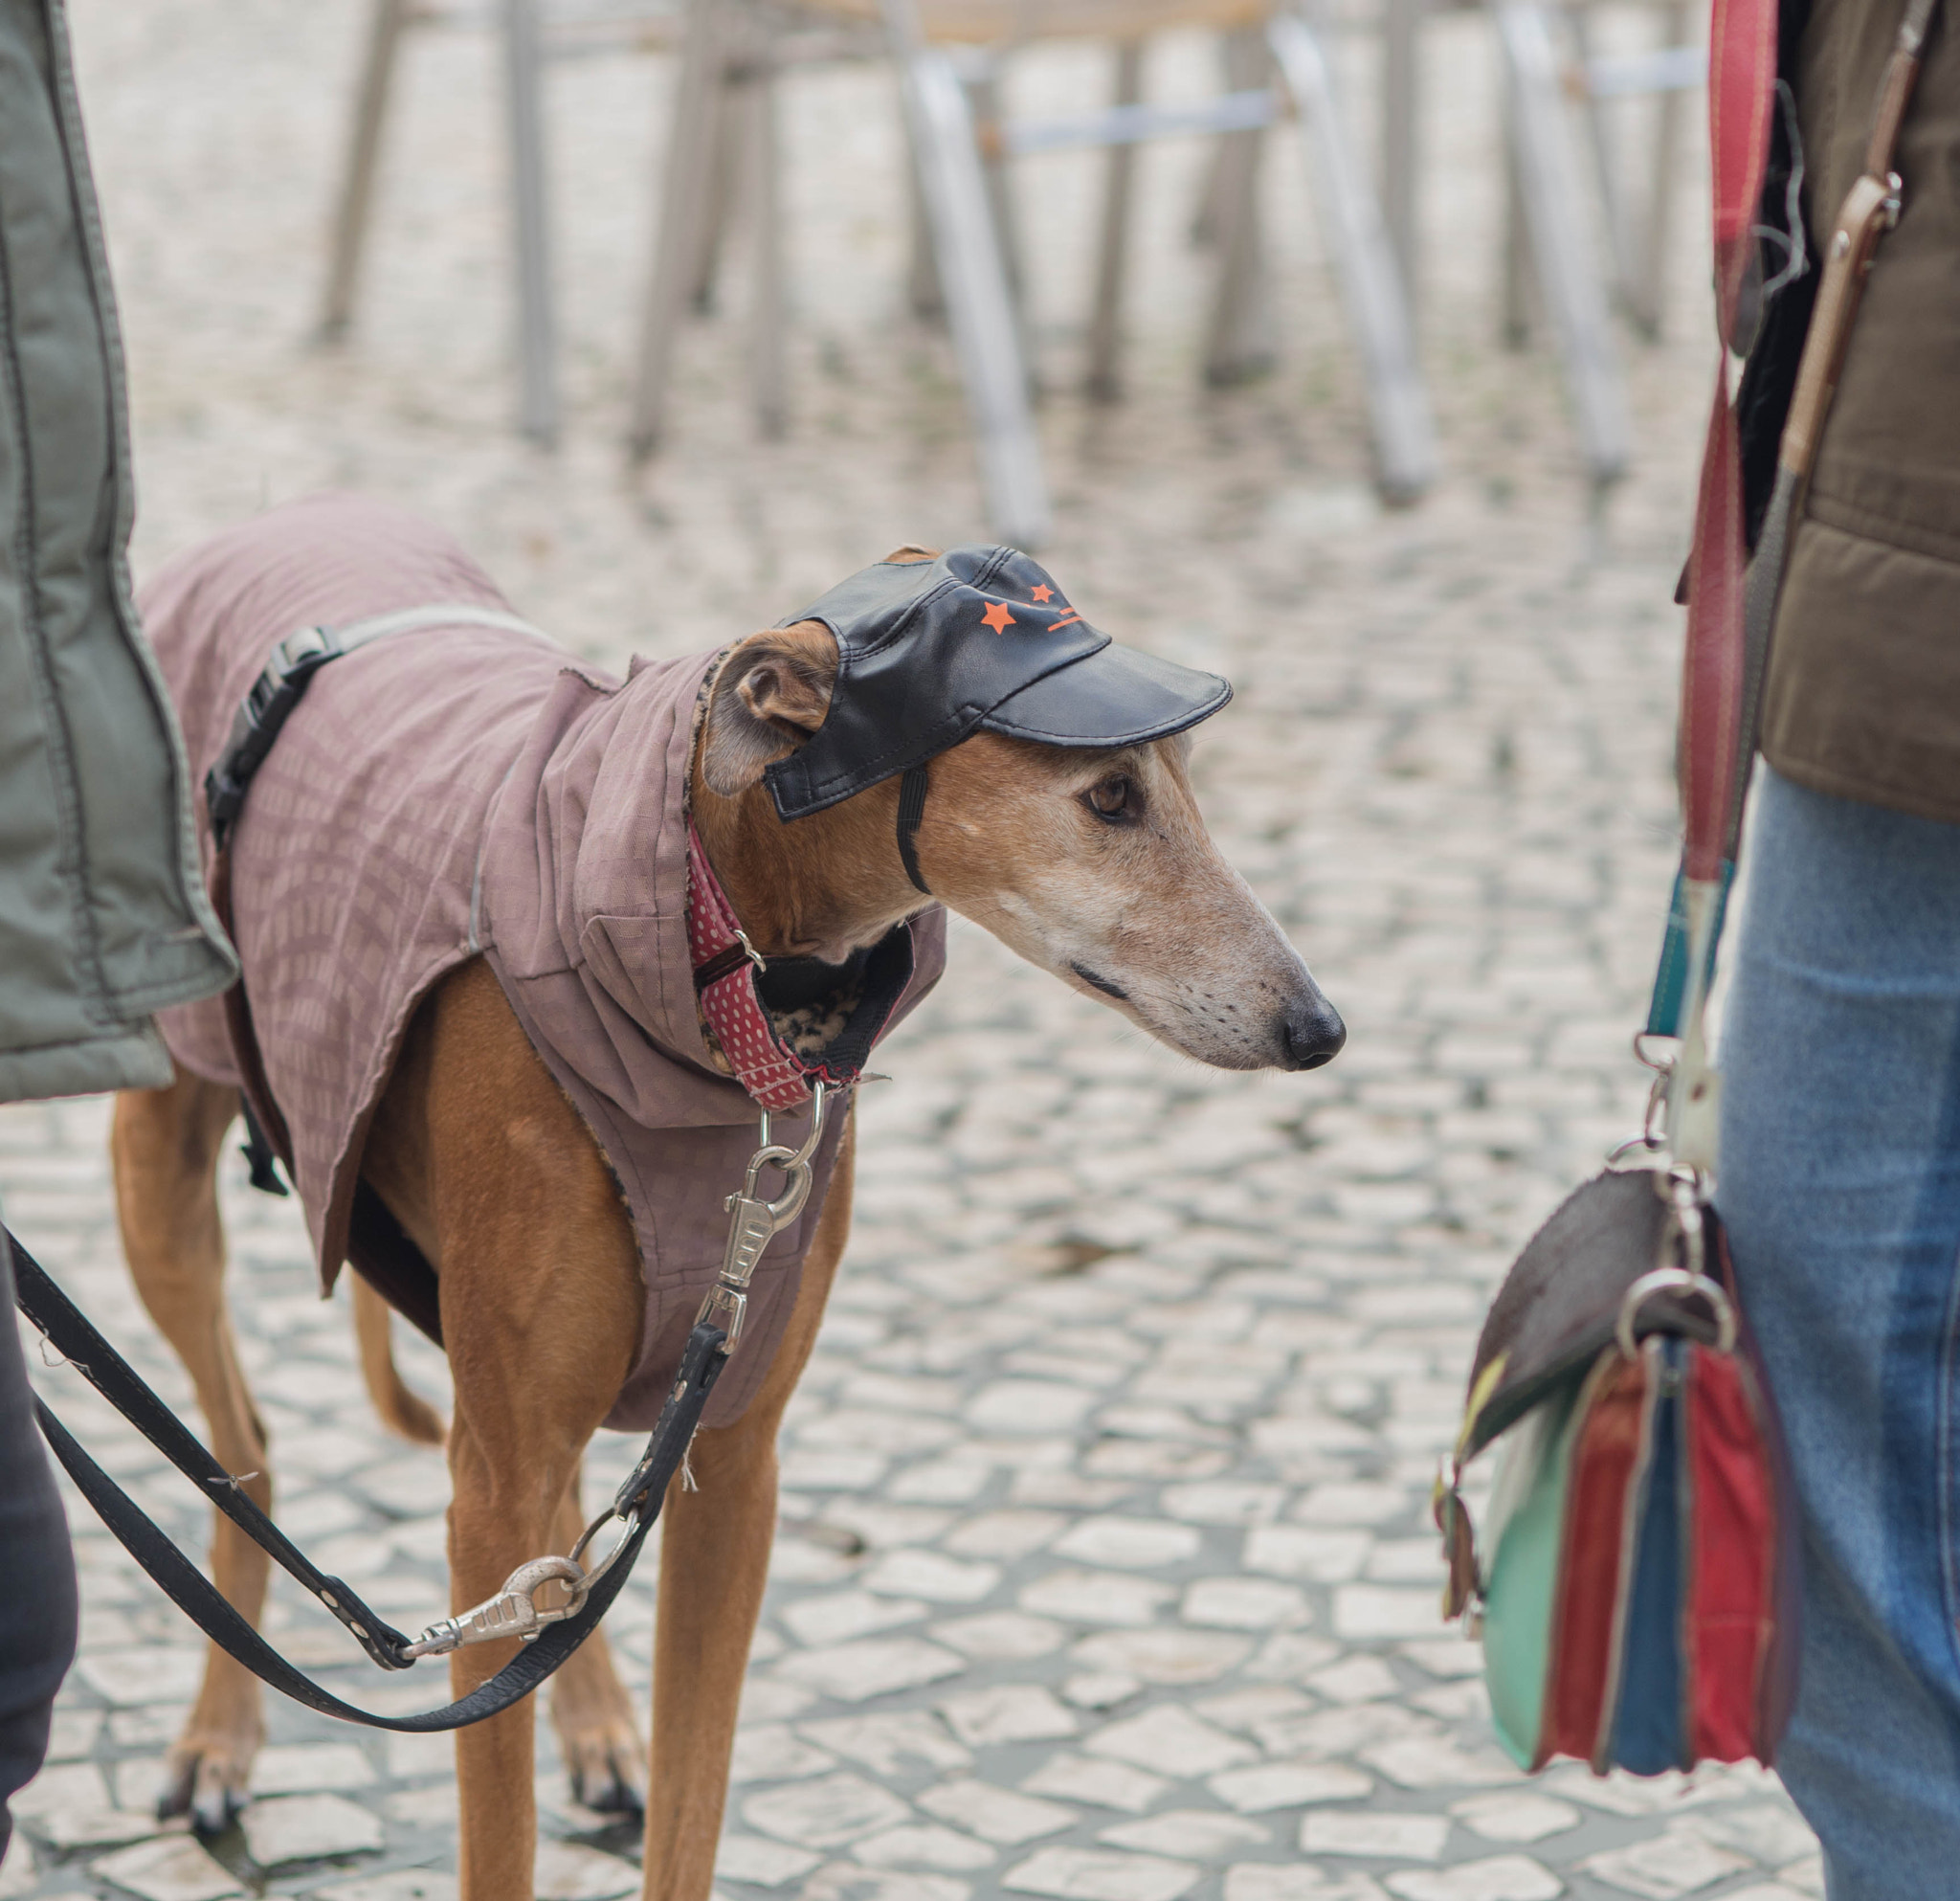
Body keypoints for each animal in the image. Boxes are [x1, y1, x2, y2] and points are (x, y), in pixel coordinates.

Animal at [111, 521, 1348, 1896]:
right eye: (1110, 798)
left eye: (1179, 776)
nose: (1318, 1027)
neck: (732, 991)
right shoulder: (506, 1463)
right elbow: (498, 1819)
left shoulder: (735, 1456)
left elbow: (683, 1805)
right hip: (162, 1188)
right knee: (251, 1452)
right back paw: (218, 1742)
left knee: (540, 1566)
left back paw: (592, 1725)